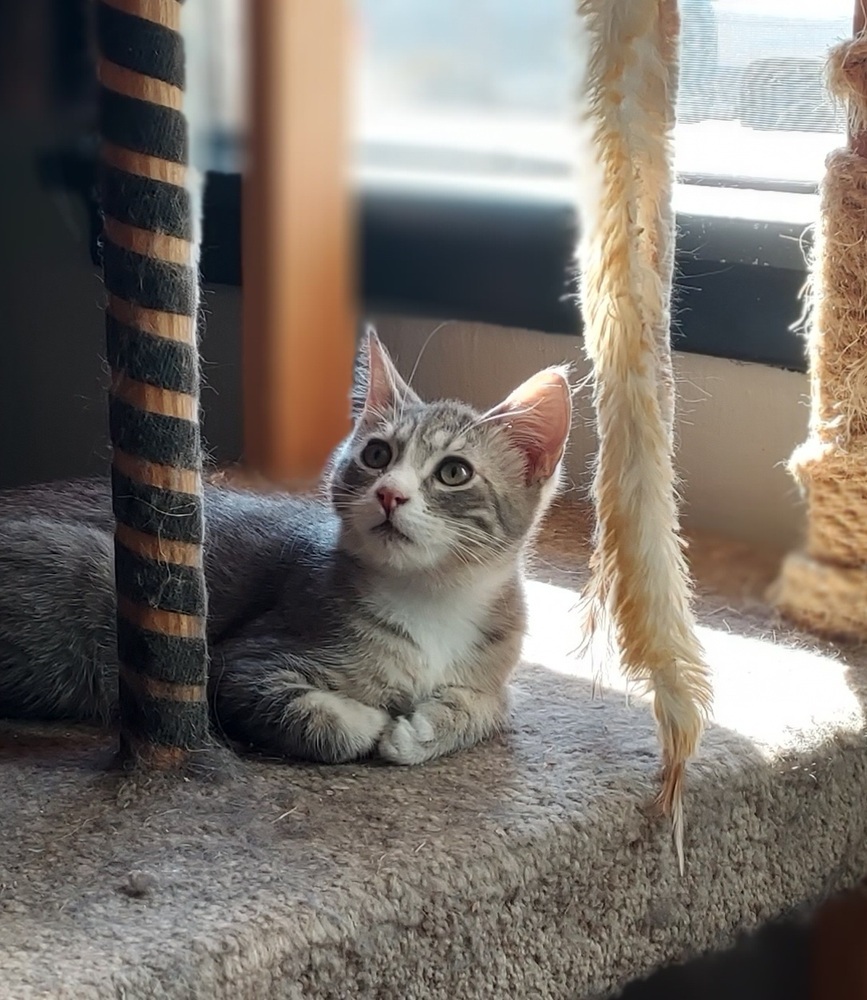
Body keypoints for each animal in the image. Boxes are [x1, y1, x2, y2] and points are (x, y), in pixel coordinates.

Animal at [0, 332, 572, 760]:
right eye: (377, 454)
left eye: (454, 472)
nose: (389, 493)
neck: (432, 598)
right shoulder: (239, 661)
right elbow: (323, 721)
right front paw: (371, 718)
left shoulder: (497, 668)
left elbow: (492, 705)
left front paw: (423, 729)